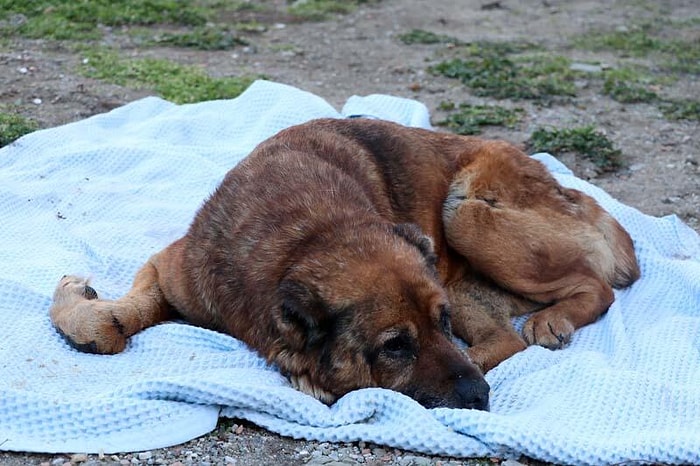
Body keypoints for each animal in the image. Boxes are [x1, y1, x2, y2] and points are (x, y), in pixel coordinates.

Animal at [49, 118, 640, 410]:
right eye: (395, 346)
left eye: (441, 323)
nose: (481, 398)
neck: (305, 237)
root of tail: (575, 194)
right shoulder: (172, 268)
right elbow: (109, 324)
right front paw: (86, 306)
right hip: (466, 264)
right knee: (507, 340)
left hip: (469, 214)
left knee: (594, 287)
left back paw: (553, 319)